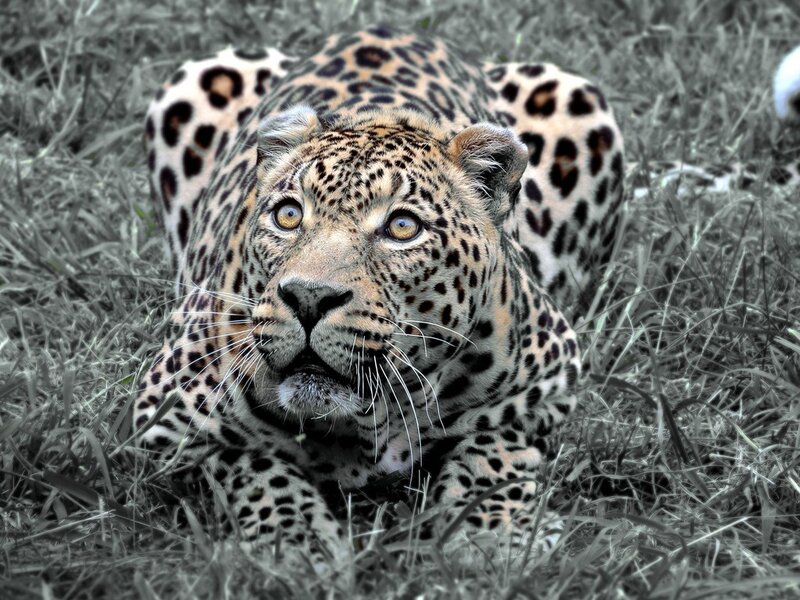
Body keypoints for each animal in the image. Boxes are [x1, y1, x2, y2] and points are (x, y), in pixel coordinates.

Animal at [133, 24, 627, 568]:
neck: (372, 418)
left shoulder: (550, 385)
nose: (308, 298)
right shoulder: (164, 415)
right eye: (288, 215)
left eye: (402, 227)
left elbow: (494, 449)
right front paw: (297, 545)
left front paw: (494, 536)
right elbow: (254, 464)